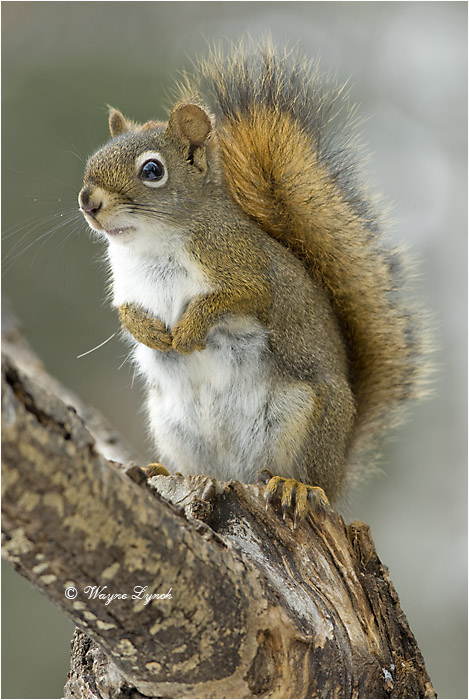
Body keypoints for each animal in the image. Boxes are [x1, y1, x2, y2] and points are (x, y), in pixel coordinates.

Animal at [78, 41, 428, 522]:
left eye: (152, 171)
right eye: (93, 160)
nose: (87, 201)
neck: (149, 245)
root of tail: (340, 468)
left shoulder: (243, 267)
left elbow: (234, 299)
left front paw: (187, 330)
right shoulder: (128, 288)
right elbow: (126, 313)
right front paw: (150, 332)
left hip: (308, 418)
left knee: (311, 478)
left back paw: (296, 486)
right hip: (173, 425)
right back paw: (161, 469)